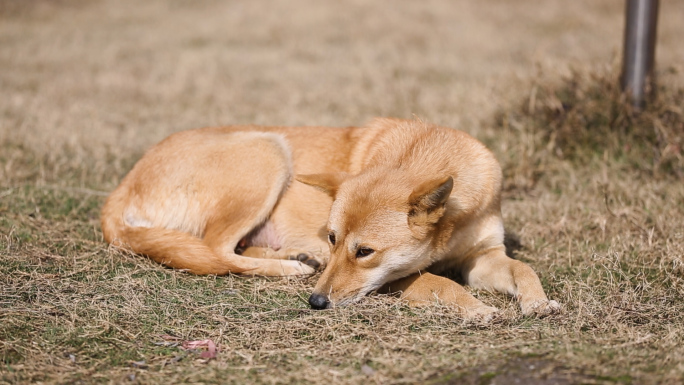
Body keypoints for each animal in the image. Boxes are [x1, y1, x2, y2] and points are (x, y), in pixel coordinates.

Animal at [101, 116, 560, 318]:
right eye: (332, 237)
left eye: (365, 251)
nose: (316, 302)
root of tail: (122, 185)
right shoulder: (399, 278)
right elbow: (441, 282)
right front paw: (477, 310)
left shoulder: (484, 255)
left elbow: (523, 269)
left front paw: (538, 302)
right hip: (269, 152)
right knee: (215, 251)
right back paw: (291, 266)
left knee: (233, 248)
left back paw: (297, 259)